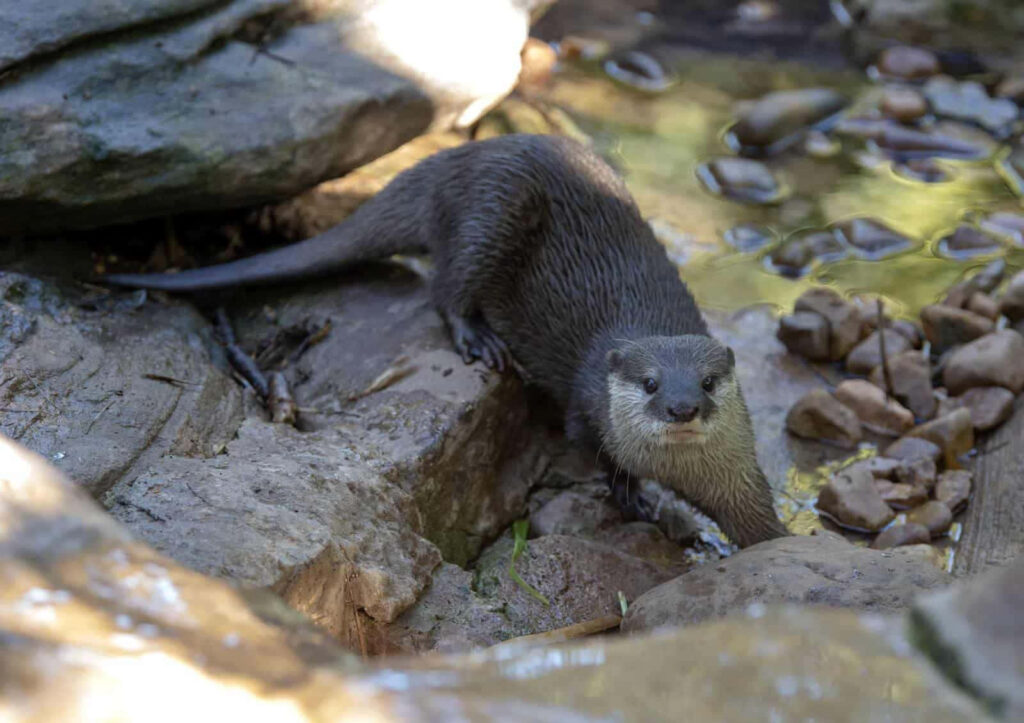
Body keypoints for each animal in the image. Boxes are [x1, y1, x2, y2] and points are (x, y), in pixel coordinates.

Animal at [104, 134, 788, 548]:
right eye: (649, 383)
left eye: (708, 382)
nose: (682, 406)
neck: (677, 470)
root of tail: (466, 156)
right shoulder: (588, 411)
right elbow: (595, 453)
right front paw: (634, 501)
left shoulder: (737, 476)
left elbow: (757, 520)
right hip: (495, 210)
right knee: (447, 283)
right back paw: (478, 340)